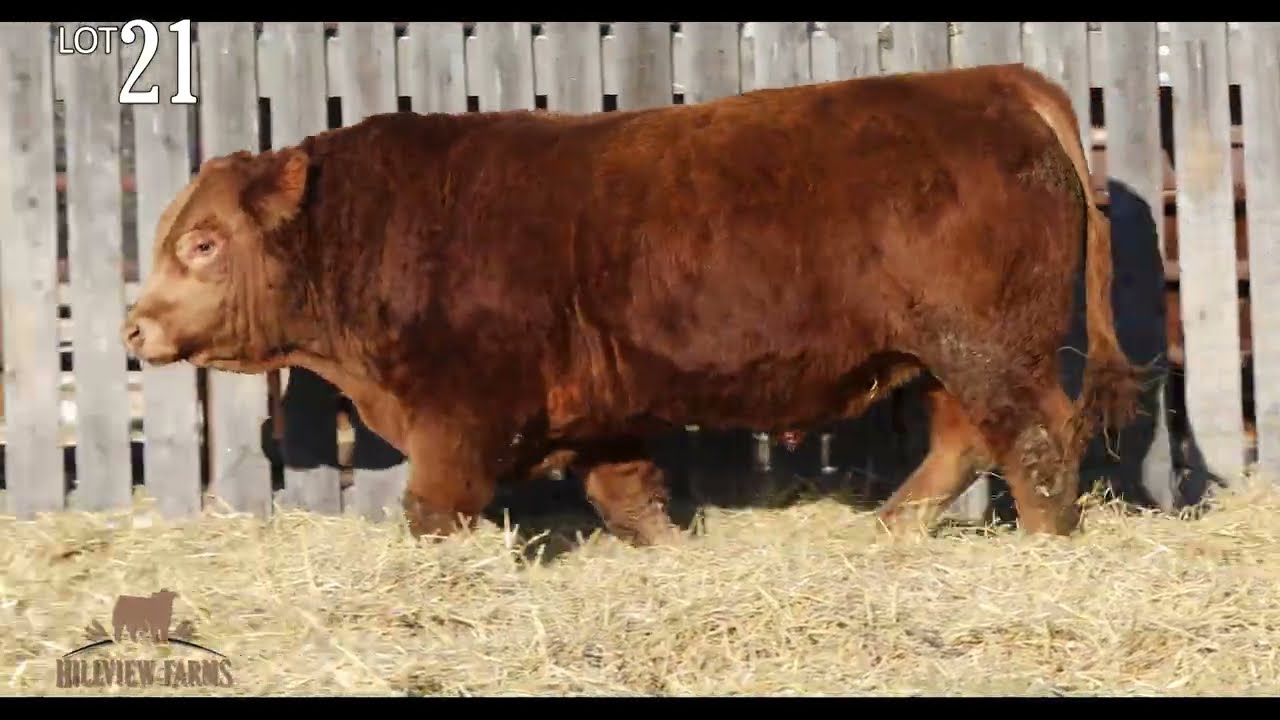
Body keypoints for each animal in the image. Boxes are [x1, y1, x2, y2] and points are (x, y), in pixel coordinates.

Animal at [120, 62, 1142, 546]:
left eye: (202, 242)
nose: (135, 327)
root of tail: (989, 80)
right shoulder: (600, 414)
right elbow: (630, 499)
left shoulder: (460, 416)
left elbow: (433, 510)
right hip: (934, 355)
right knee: (965, 438)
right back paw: (892, 525)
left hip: (987, 347)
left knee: (1034, 440)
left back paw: (1044, 545)